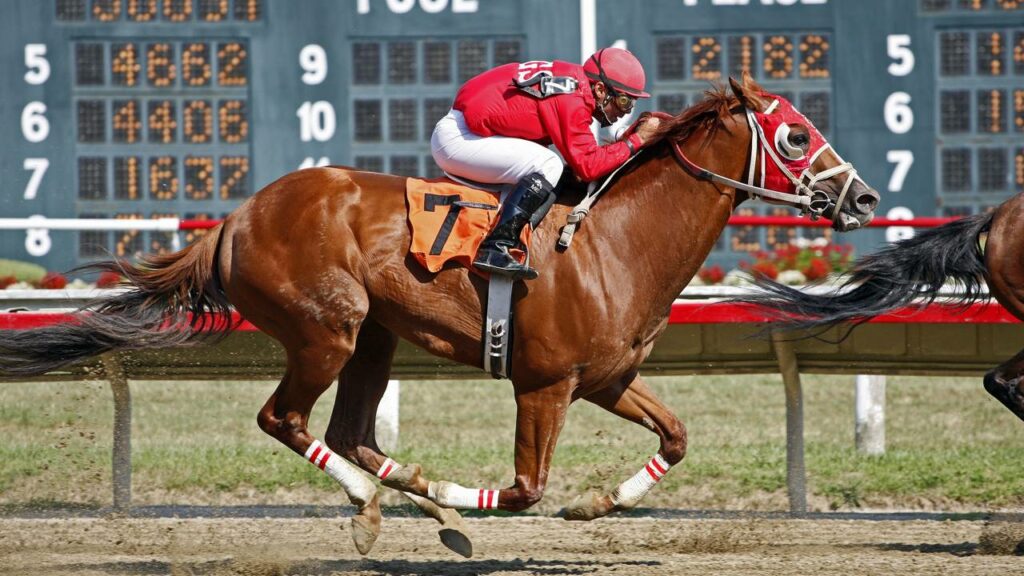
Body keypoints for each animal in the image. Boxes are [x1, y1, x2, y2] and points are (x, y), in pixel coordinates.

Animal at [0, 74, 879, 556]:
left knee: (351, 430)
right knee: (286, 419)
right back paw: (373, 506)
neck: (615, 243)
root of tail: (237, 218)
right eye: (795, 136)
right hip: (328, 328)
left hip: (375, 338)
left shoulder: (606, 378)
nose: (865, 197)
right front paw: (467, 508)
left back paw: (400, 494)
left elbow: (677, 437)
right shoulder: (544, 384)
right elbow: (523, 491)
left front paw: (595, 504)